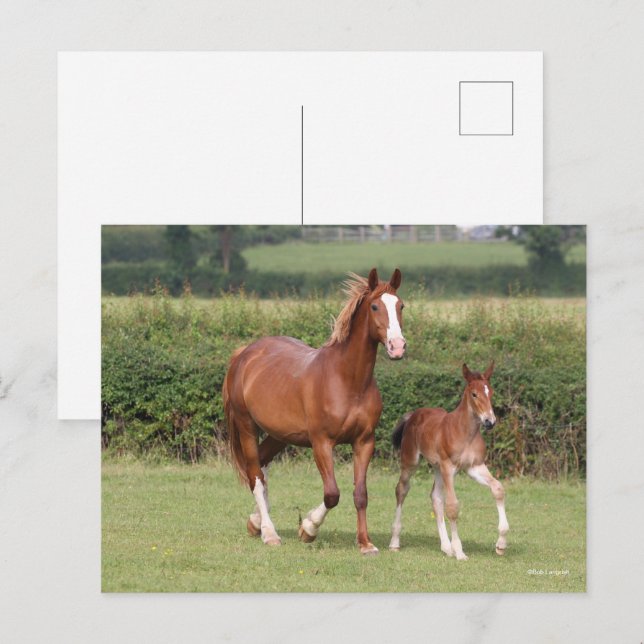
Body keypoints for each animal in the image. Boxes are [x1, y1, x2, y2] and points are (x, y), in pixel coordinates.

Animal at [222, 268, 406, 555]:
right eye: (375, 306)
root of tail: (244, 354)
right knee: (255, 475)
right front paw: (308, 528)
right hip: (246, 427)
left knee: (262, 466)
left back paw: (255, 522)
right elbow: (332, 494)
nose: (397, 346)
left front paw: (365, 543)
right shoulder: (322, 442)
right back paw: (269, 533)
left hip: (280, 435)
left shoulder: (364, 442)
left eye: (401, 306)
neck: (348, 380)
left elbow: (360, 494)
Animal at [388, 362, 509, 560]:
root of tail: (413, 414)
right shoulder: (449, 467)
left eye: (491, 392)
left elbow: (498, 488)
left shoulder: (474, 466)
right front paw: (459, 551)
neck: (465, 432)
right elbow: (452, 506)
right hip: (411, 461)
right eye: (474, 394)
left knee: (435, 497)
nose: (489, 421)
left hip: (437, 468)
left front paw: (501, 544)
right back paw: (395, 542)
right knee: (401, 489)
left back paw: (446, 547)